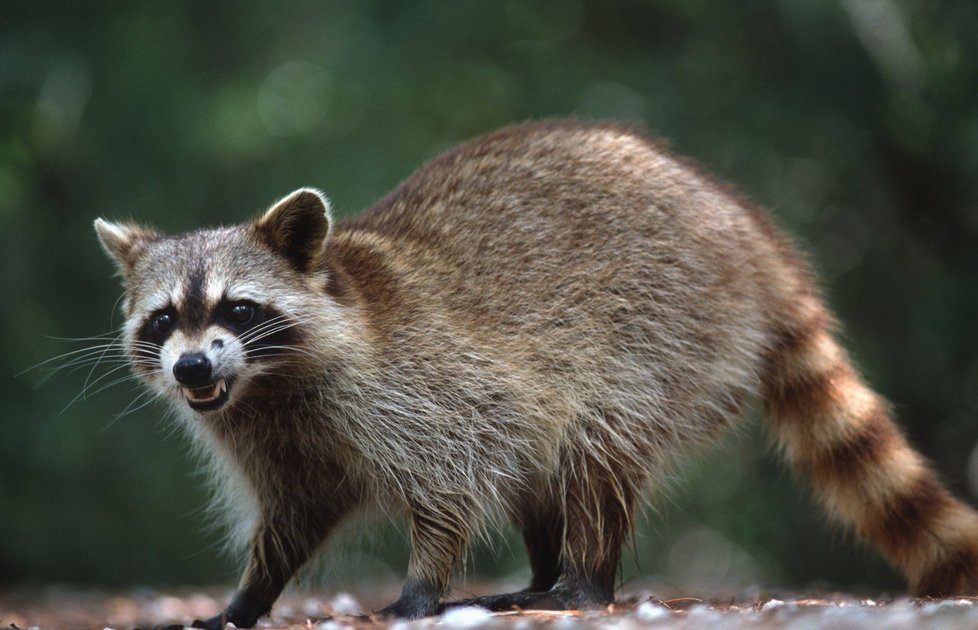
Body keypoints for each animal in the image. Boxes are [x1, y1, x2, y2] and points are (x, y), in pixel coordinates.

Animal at [95, 121, 976, 628]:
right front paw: (249, 596)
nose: (192, 366)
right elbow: (292, 515)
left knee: (595, 443)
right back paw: (548, 566)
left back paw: (582, 581)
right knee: (542, 460)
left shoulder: (419, 384)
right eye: (165, 320)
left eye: (237, 310)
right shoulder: (271, 435)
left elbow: (449, 483)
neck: (269, 383)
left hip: (663, 324)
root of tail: (750, 235)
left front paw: (424, 584)